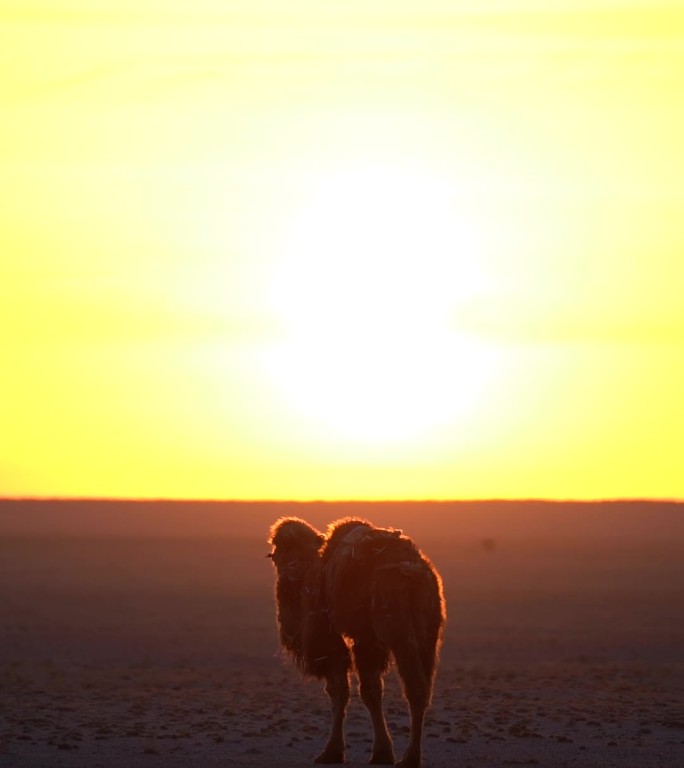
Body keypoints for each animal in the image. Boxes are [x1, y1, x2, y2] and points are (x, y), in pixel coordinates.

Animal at [264, 516, 446, 768]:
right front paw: (380, 753)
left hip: (399, 630)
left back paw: (410, 758)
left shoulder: (335, 637)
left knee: (414, 687)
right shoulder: (365, 640)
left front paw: (335, 752)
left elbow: (343, 690)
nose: (289, 575)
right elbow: (367, 690)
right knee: (422, 687)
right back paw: (412, 756)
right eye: (277, 554)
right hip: (428, 632)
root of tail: (413, 570)